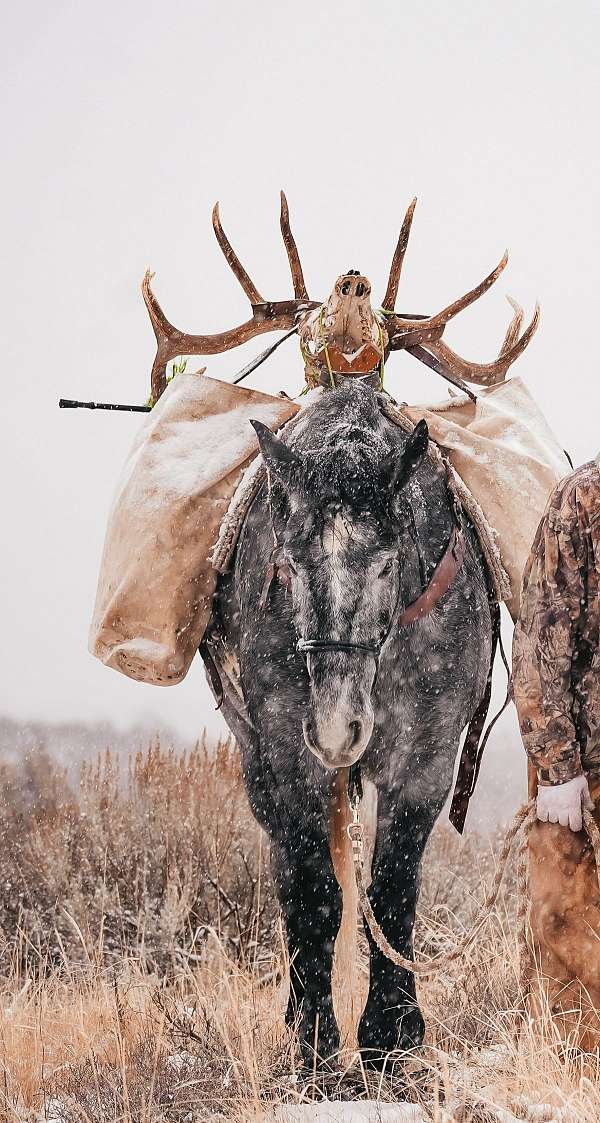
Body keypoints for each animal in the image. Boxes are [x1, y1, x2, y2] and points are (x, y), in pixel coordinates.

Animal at [208, 378, 492, 1066]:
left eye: (388, 563)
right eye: (287, 562)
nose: (338, 731)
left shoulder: (427, 756)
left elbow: (391, 889)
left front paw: (392, 1038)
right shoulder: (289, 749)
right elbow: (314, 892)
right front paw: (316, 1044)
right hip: (257, 759)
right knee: (287, 866)